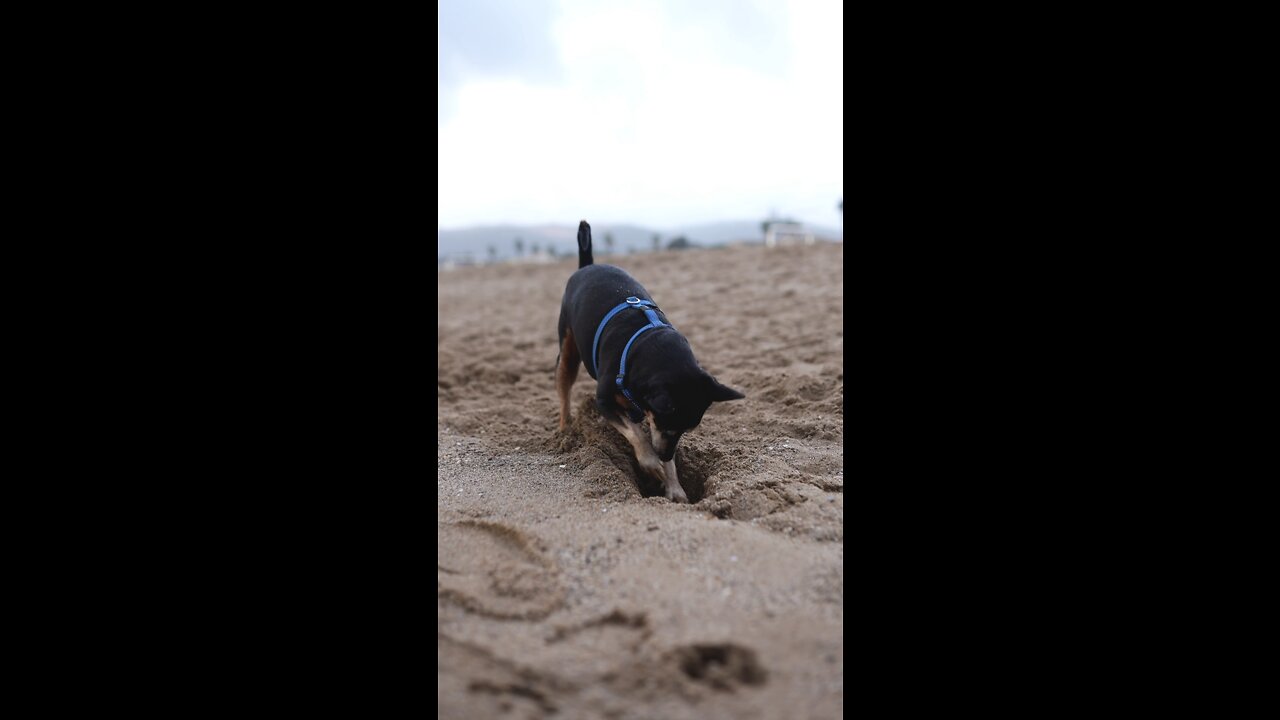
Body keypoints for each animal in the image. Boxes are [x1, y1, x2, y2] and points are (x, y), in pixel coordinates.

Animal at [558, 219, 747, 499]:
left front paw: (674, 486)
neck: (648, 344)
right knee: (564, 387)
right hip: (567, 349)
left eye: (686, 431)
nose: (666, 454)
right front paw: (652, 464)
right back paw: (564, 430)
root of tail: (588, 265)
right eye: (669, 428)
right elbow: (636, 433)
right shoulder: (604, 401)